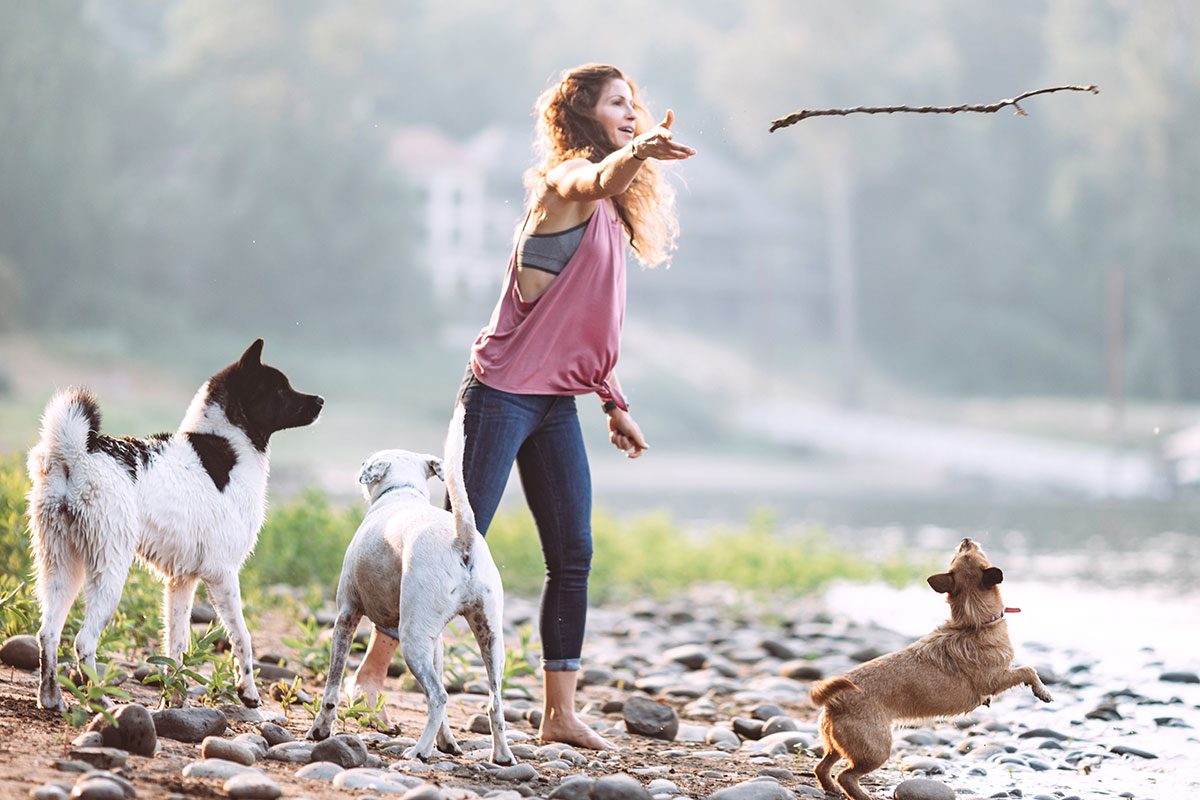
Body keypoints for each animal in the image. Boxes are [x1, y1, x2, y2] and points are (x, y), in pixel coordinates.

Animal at [27, 340, 324, 710]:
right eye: (281, 389)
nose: (320, 401)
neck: (229, 443)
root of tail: (76, 456)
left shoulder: (181, 581)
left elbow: (177, 647)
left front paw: (176, 701)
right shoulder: (223, 574)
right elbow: (242, 636)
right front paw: (248, 692)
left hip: (61, 565)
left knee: (48, 633)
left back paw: (52, 698)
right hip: (109, 571)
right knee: (83, 640)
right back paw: (101, 702)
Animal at [302, 402, 513, 767]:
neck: (400, 493)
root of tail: (462, 539)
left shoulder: (346, 616)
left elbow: (332, 684)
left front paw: (320, 729)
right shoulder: (437, 640)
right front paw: (448, 743)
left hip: (412, 641)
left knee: (439, 696)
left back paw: (419, 751)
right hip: (489, 639)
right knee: (493, 702)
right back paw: (501, 755)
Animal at [811, 537, 1056, 800]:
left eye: (959, 555)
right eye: (970, 552)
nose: (966, 539)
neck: (973, 622)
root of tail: (835, 701)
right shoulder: (996, 679)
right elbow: (1028, 670)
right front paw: (1042, 691)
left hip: (837, 745)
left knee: (822, 767)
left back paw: (831, 789)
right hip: (876, 749)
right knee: (846, 775)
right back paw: (861, 795)